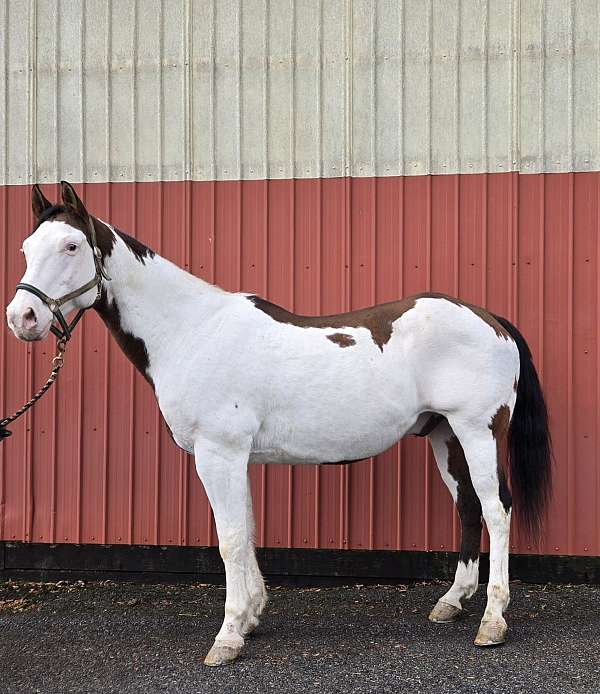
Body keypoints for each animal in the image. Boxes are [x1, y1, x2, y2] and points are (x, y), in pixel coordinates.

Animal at [4, 182, 552, 668]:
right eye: (27, 247)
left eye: (72, 245)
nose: (22, 317)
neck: (193, 331)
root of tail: (491, 320)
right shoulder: (235, 457)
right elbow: (246, 531)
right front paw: (250, 618)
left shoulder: (218, 453)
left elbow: (228, 539)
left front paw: (227, 638)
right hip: (444, 435)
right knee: (468, 509)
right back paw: (451, 603)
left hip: (478, 431)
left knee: (497, 510)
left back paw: (493, 622)